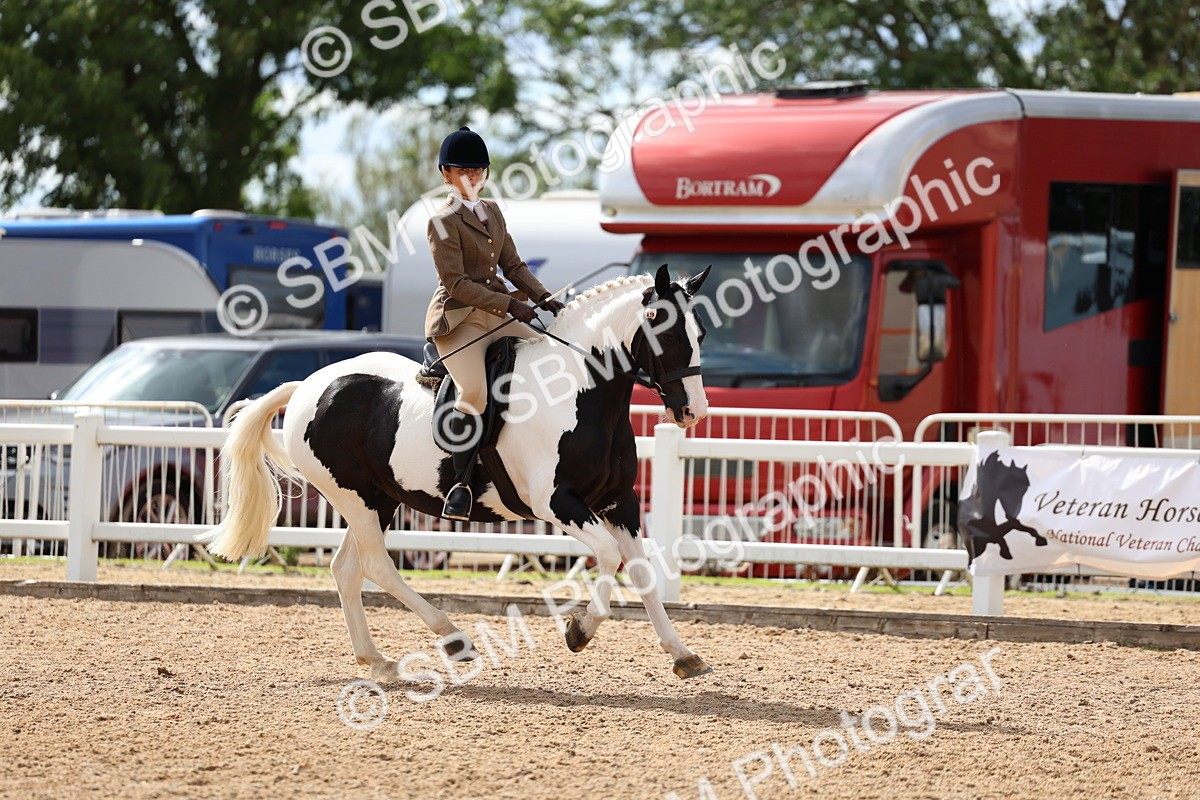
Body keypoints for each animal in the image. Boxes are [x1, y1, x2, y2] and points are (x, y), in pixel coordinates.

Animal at [200, 265, 715, 680]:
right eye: (668, 333)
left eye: (701, 334)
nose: (694, 412)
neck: (578, 393)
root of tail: (308, 385)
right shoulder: (557, 503)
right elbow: (609, 556)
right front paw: (579, 631)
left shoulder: (618, 502)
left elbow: (643, 571)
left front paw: (682, 654)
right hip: (354, 497)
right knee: (377, 566)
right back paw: (453, 638)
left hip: (379, 499)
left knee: (347, 569)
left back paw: (378, 660)